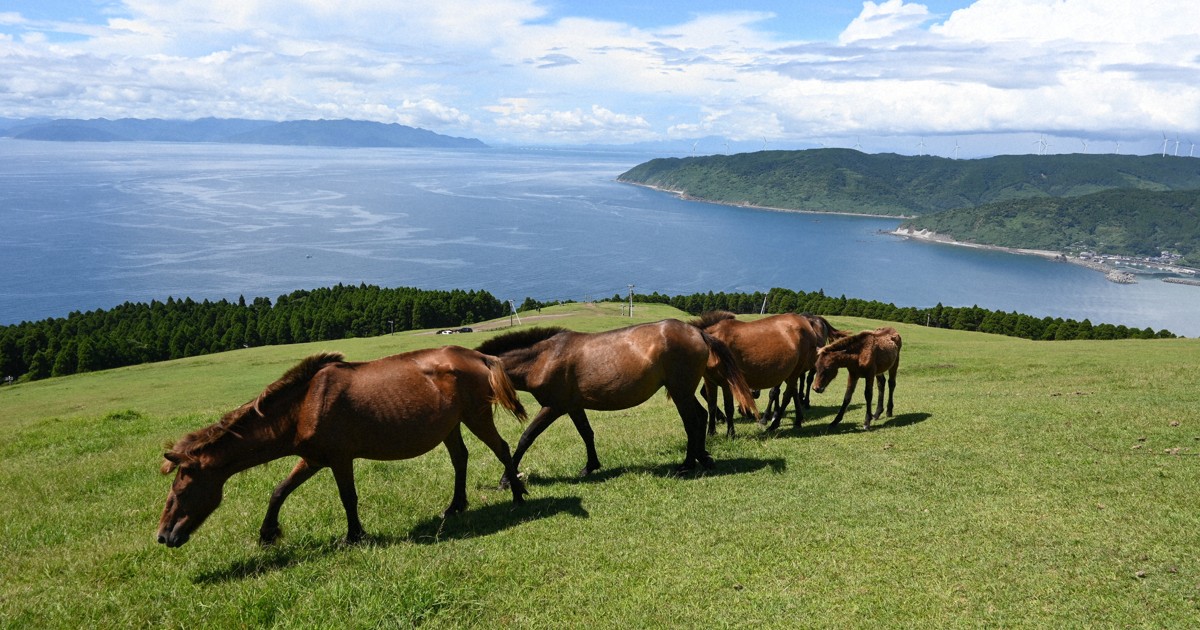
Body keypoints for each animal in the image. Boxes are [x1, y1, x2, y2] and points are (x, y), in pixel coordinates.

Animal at [157, 347, 528, 548]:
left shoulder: (338, 458)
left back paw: (518, 496)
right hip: (450, 425)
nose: (164, 536)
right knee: (460, 459)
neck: (303, 405)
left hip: (476, 416)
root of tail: (479, 355)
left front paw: (354, 535)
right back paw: (455, 506)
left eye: (181, 491)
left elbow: (348, 497)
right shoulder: (312, 458)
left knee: (502, 449)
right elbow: (279, 491)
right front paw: (267, 534)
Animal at [475, 319, 756, 482]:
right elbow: (586, 433)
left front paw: (506, 478)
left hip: (681, 392)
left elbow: (527, 437)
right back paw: (702, 457)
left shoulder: (553, 407)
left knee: (693, 421)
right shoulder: (573, 406)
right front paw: (590, 466)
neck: (543, 358)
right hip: (683, 391)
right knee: (701, 416)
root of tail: (698, 332)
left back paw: (688, 465)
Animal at [694, 311, 823, 436]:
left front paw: (731, 433)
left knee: (787, 396)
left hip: (795, 371)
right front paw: (711, 432)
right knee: (793, 393)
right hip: (790, 373)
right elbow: (711, 406)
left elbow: (729, 408)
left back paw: (774, 424)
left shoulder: (727, 382)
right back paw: (796, 420)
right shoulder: (709, 381)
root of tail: (806, 322)